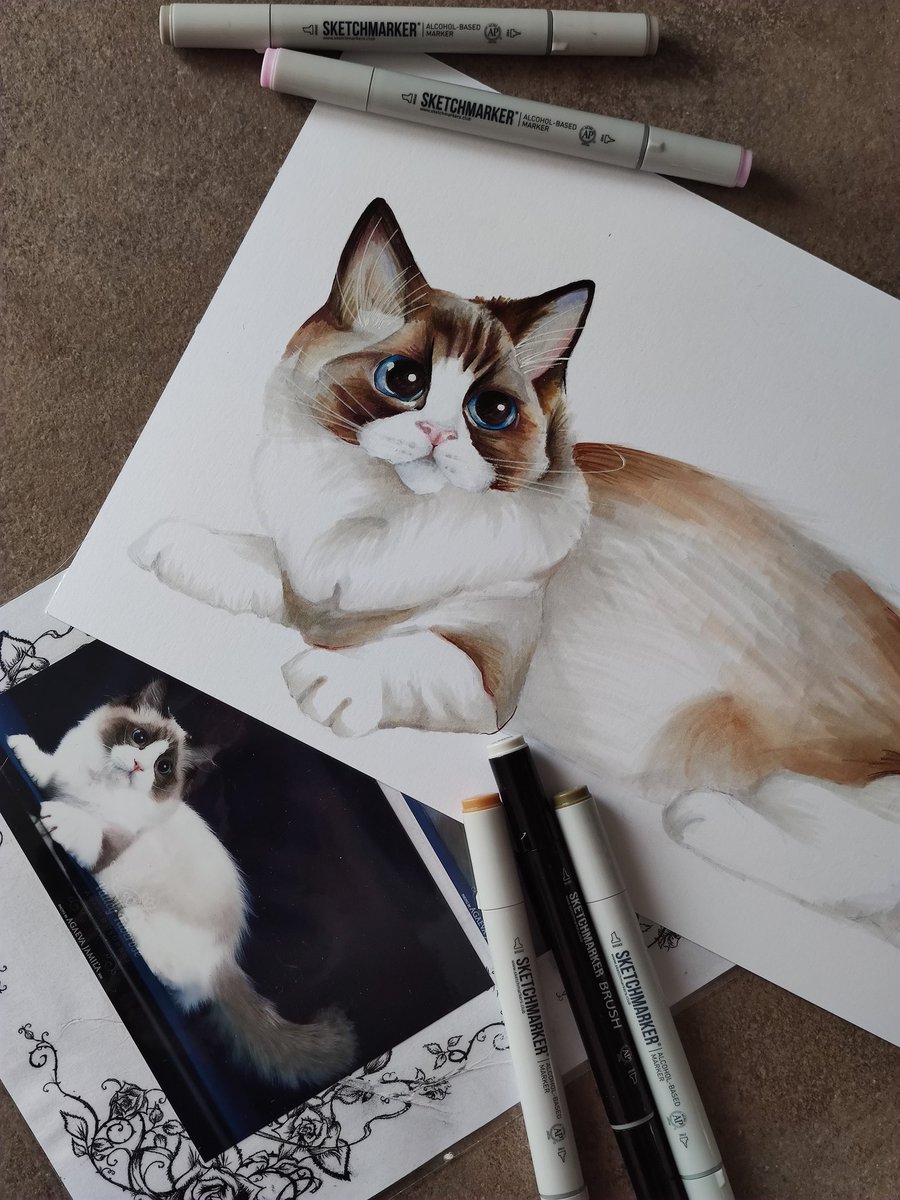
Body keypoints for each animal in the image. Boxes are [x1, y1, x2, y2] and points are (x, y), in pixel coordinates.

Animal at [7, 679, 356, 1086]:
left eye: (163, 768)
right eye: (139, 738)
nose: (139, 765)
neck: (102, 789)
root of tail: (225, 961)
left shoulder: (113, 843)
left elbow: (86, 831)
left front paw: (59, 819)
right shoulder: (63, 777)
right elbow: (46, 769)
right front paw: (19, 747)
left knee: (177, 982)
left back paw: (127, 927)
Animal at [131, 197, 900, 942]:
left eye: (490, 412)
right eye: (402, 380)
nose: (438, 434)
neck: (383, 520)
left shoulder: (487, 666)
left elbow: (414, 654)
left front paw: (327, 679)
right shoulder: (312, 587)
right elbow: (257, 562)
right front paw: (161, 545)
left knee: (857, 852)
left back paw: (704, 816)